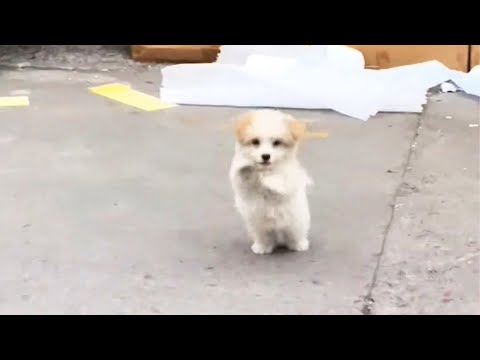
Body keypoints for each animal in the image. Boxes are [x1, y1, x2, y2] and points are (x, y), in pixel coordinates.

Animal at [230, 111, 314, 255]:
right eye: (255, 141)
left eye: (276, 142)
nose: (265, 156)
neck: (265, 169)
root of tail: (278, 235)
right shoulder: (242, 184)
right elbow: (242, 176)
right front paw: (246, 168)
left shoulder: (289, 178)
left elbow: (280, 180)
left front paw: (269, 180)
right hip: (257, 225)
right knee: (265, 237)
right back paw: (262, 247)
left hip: (297, 222)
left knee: (295, 235)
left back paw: (299, 244)